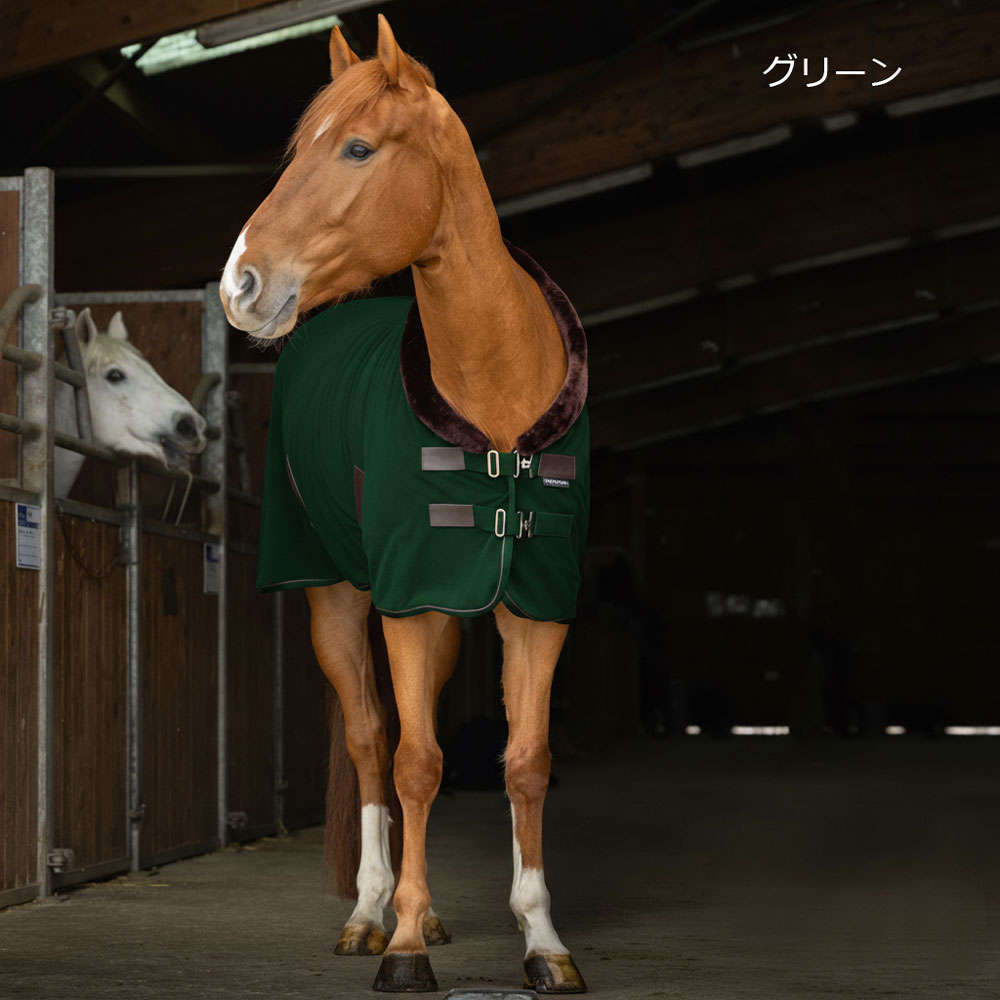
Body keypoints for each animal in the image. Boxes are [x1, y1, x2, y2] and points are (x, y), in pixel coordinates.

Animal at [220, 17, 589, 994]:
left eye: (356, 147)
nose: (240, 285)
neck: (495, 398)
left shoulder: (535, 607)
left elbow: (526, 762)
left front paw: (542, 938)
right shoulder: (407, 602)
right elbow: (416, 762)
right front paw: (406, 943)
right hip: (339, 601)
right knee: (369, 740)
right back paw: (370, 913)